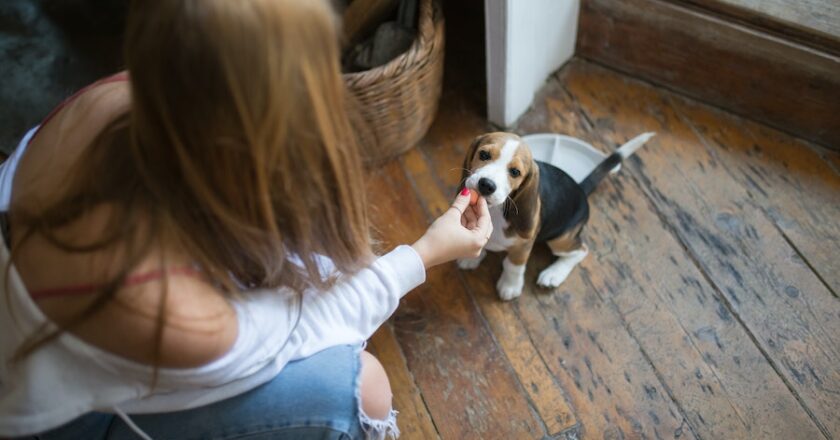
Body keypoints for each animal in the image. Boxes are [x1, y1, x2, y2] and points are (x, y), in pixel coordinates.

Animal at [456, 132, 652, 300]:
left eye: (515, 172)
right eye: (484, 154)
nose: (486, 185)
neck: (496, 210)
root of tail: (581, 189)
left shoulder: (524, 246)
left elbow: (513, 265)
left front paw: (510, 286)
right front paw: (470, 256)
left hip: (560, 240)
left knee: (581, 250)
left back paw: (554, 273)